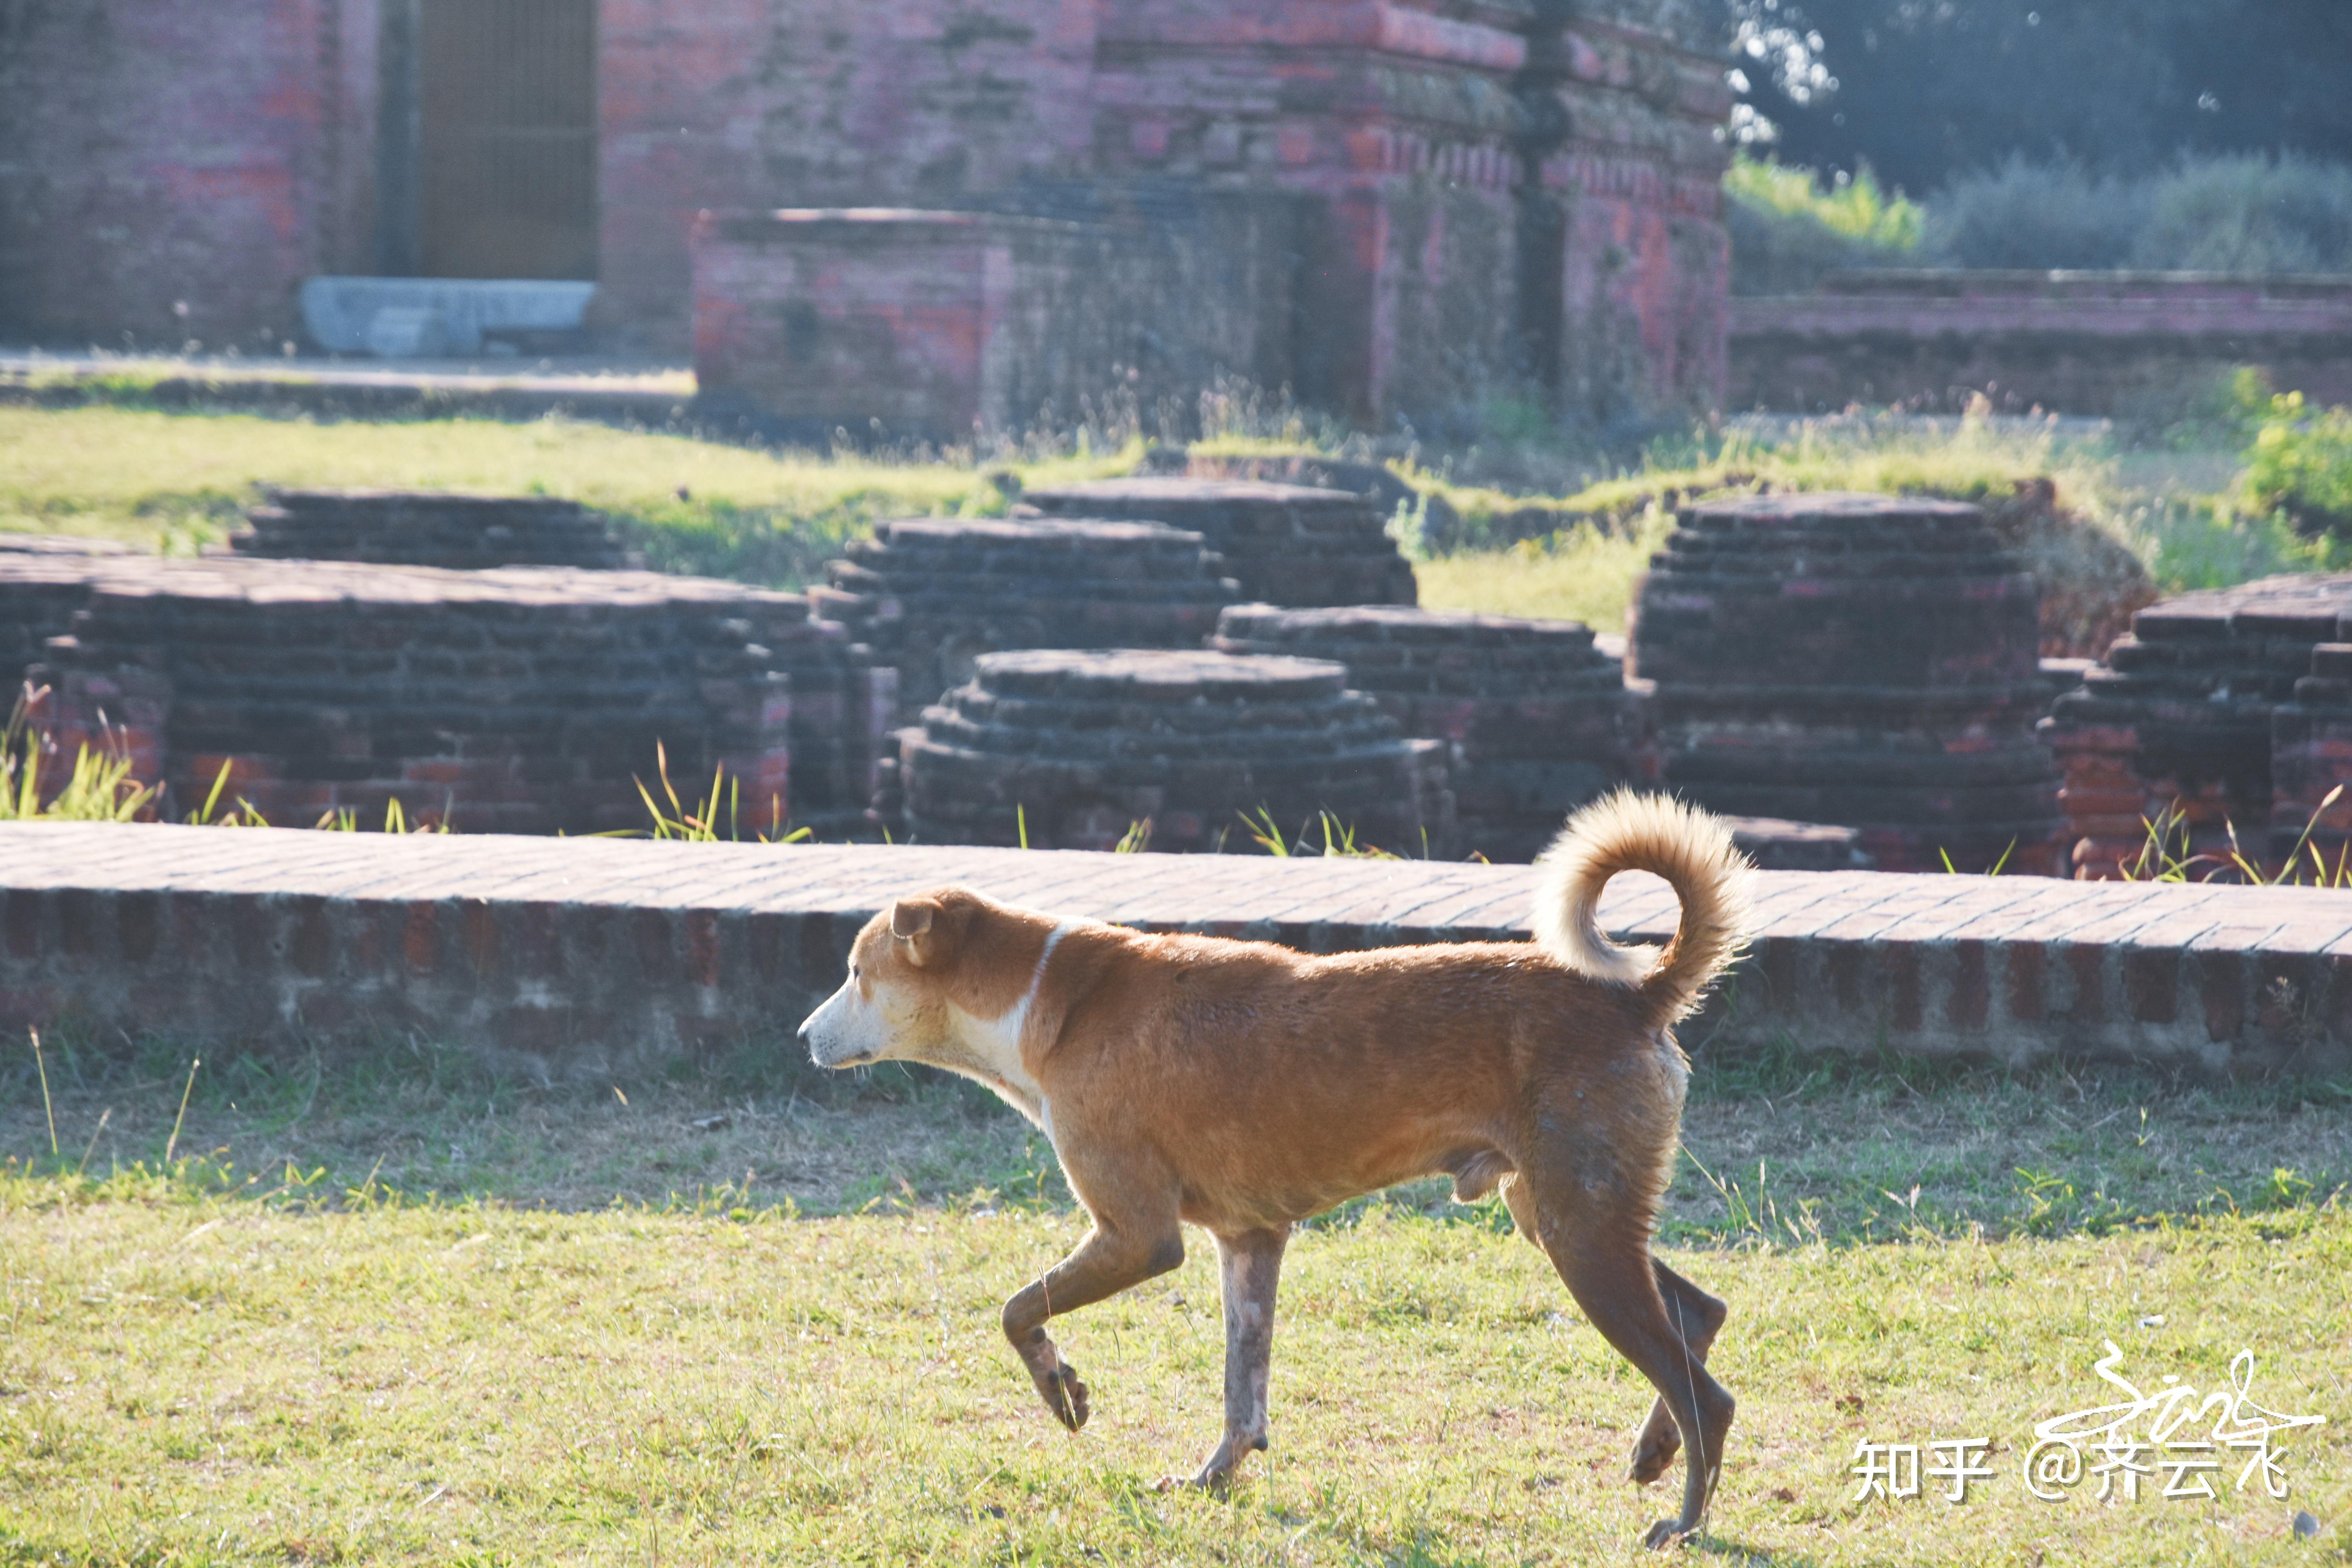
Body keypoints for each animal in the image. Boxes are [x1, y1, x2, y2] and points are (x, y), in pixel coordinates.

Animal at [804, 789, 1750, 1552]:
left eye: (855, 972)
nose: (803, 1035)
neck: (1049, 999)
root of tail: (1641, 995)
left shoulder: (1137, 1236)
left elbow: (1016, 1308)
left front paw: (1061, 1388)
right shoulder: (1250, 1239)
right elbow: (1242, 1390)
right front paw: (1213, 1477)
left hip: (1579, 1230)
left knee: (1704, 1391)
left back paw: (1684, 1521)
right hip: (1565, 1213)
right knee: (1699, 1314)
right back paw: (1655, 1448)